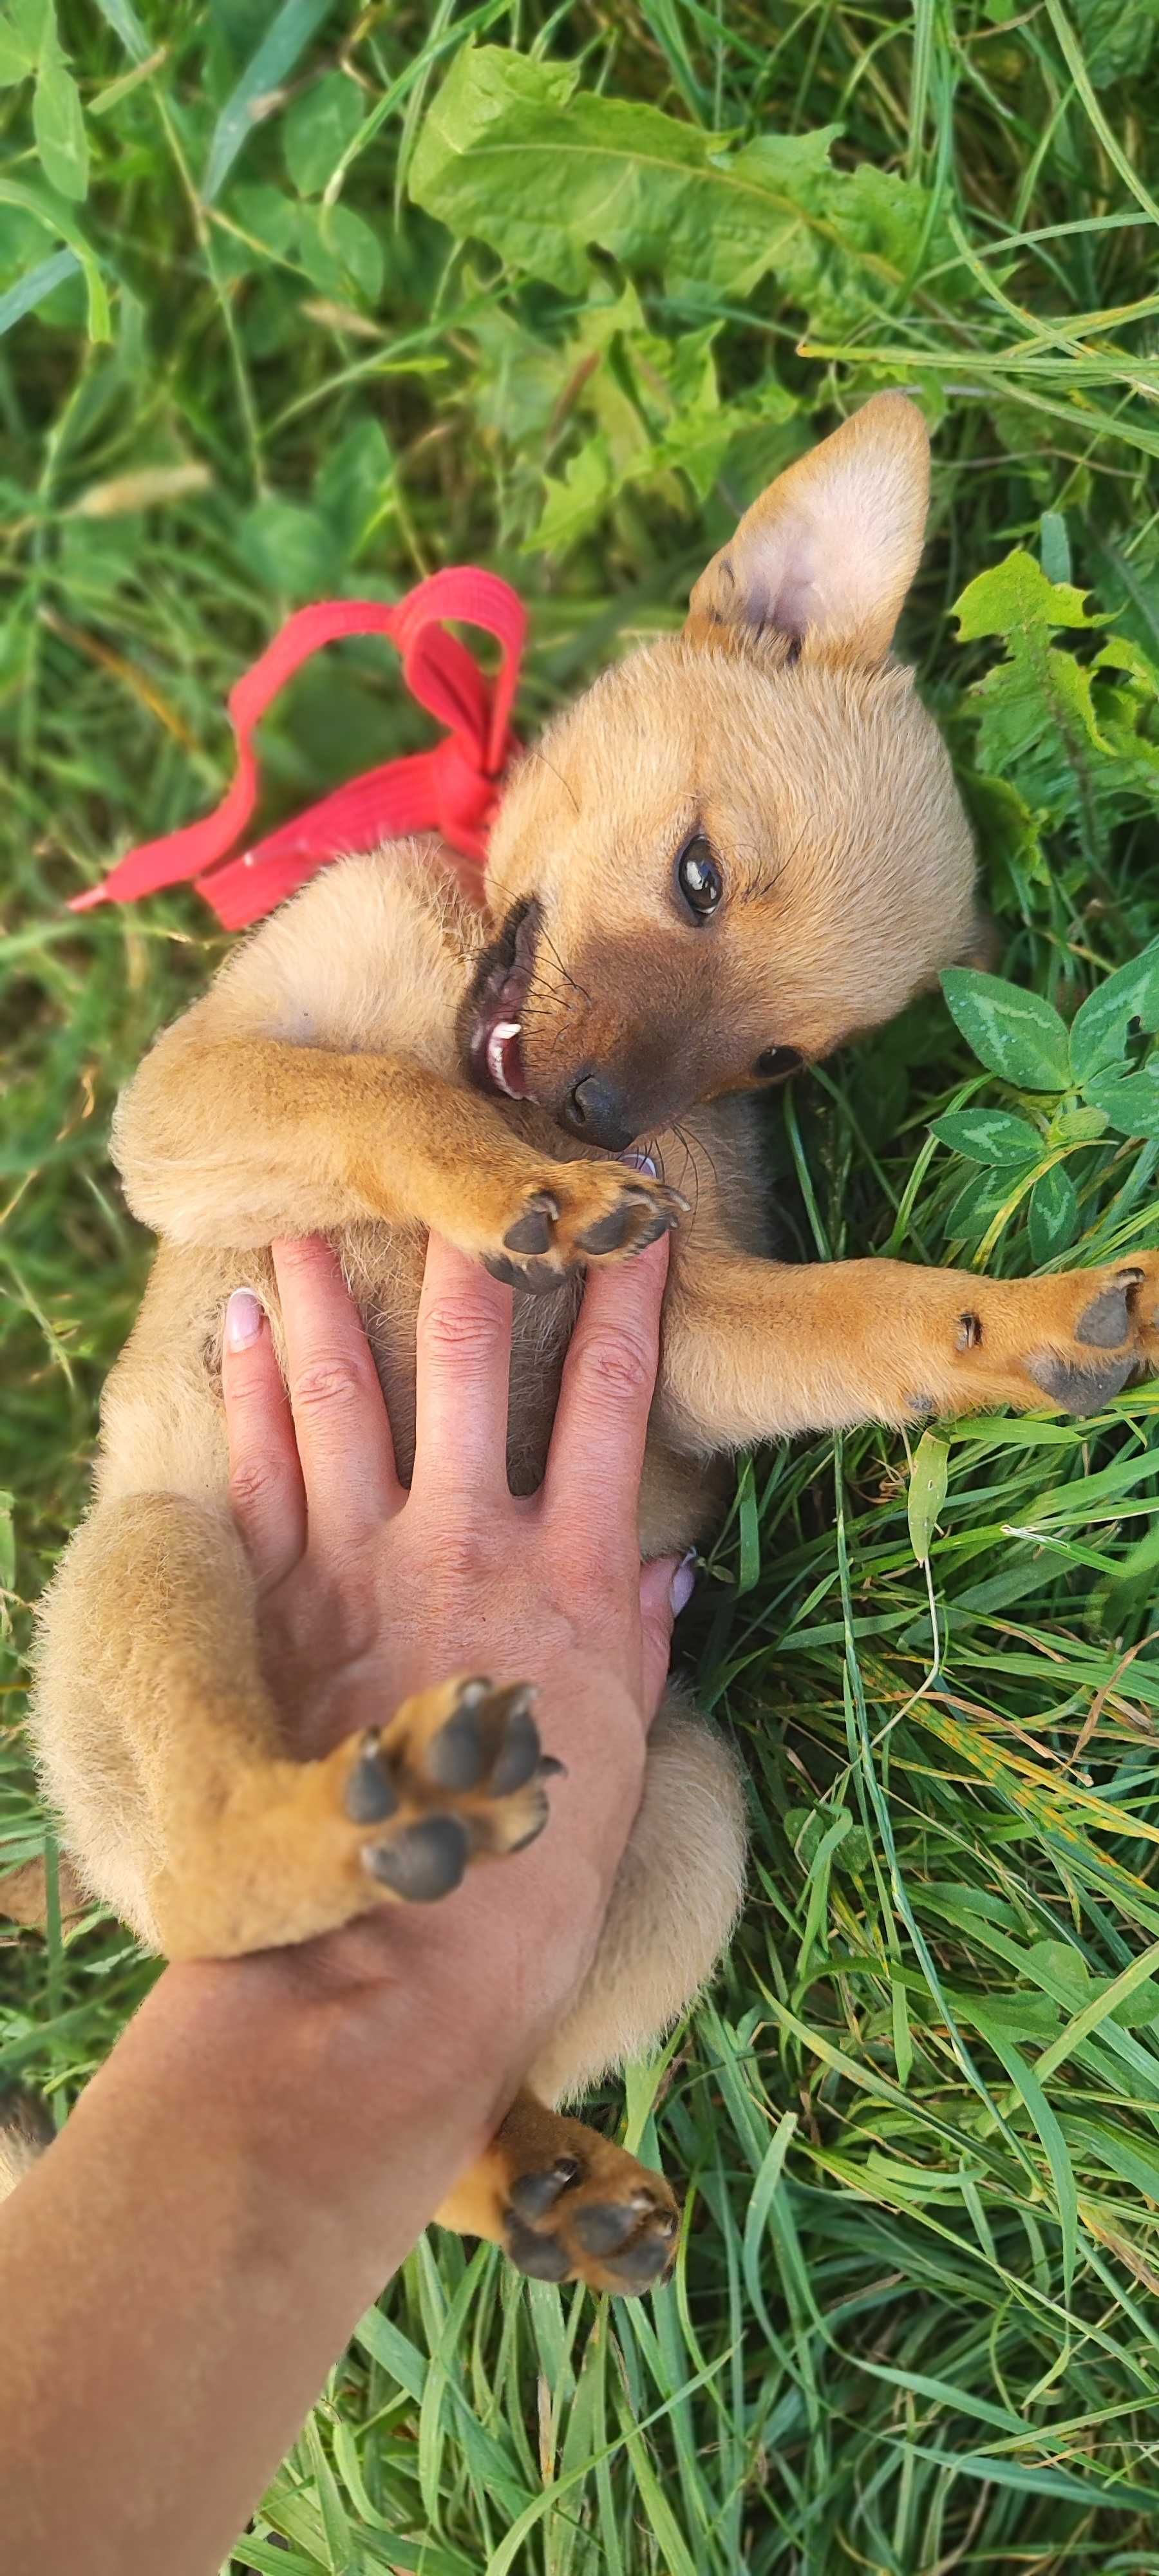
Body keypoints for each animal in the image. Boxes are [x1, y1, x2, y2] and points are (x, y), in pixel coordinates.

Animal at [27, 402, 1159, 2298]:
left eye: (783, 1059)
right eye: (696, 874)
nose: (602, 1117)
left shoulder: (689, 1331)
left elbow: (859, 1307)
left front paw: (1018, 1328)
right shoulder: (185, 1105)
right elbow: (369, 1100)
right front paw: (511, 1189)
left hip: (683, 1812)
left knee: (433, 2086)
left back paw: (537, 2170)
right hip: (160, 1559)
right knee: (206, 1875)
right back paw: (349, 1818)